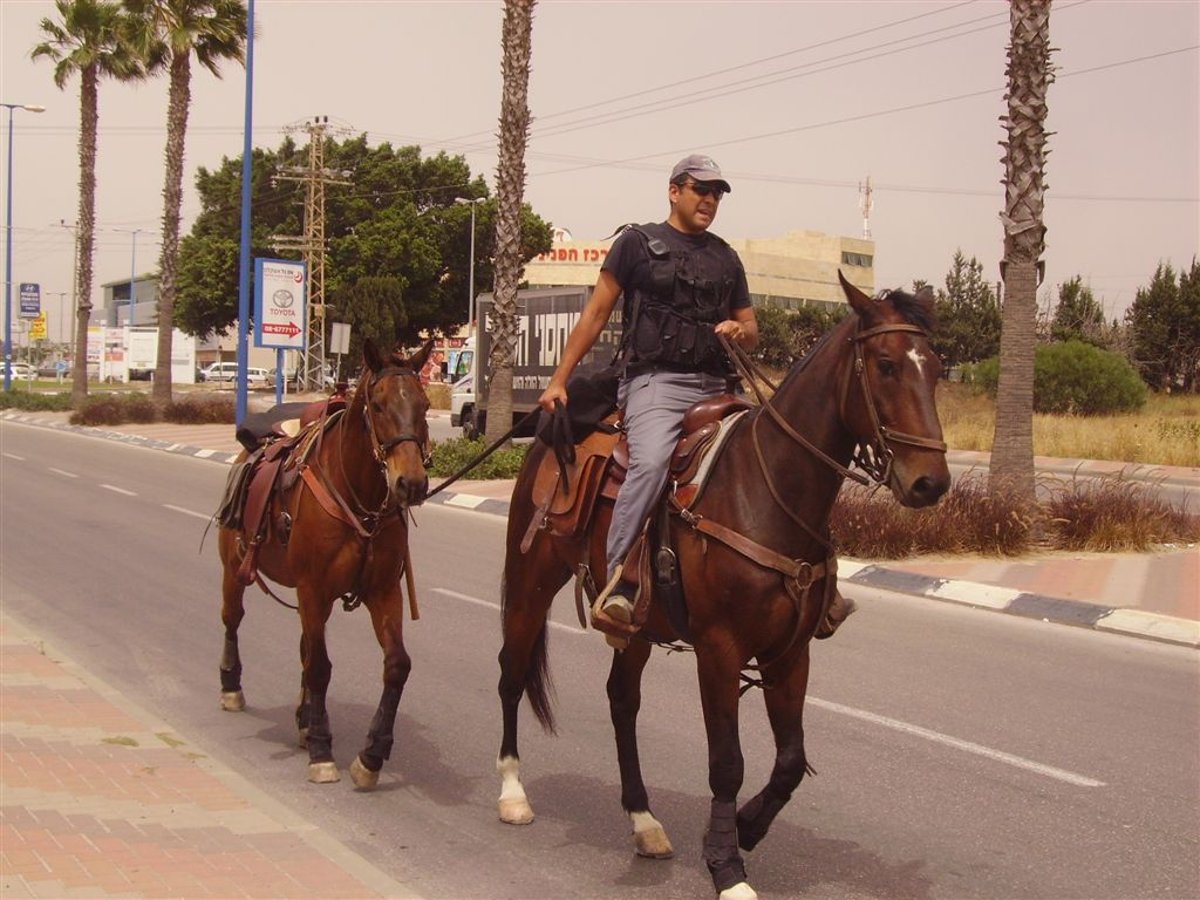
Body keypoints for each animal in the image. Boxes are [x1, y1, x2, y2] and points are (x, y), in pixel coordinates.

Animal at [218, 340, 434, 792]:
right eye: (378, 404)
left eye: (423, 404)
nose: (411, 484)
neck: (358, 496)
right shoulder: (313, 589)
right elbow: (320, 666)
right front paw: (321, 748)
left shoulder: (382, 592)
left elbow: (396, 665)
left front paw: (371, 755)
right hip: (235, 569)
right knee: (233, 618)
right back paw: (232, 686)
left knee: (305, 645)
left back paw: (303, 719)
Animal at [492, 274, 950, 900]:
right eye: (884, 365)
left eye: (937, 367)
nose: (932, 483)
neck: (765, 488)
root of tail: (546, 433)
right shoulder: (719, 649)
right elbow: (727, 762)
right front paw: (726, 864)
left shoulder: (789, 653)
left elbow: (790, 760)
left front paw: (750, 828)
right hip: (533, 581)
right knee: (512, 672)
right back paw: (512, 792)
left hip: (638, 625)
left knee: (621, 701)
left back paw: (644, 821)